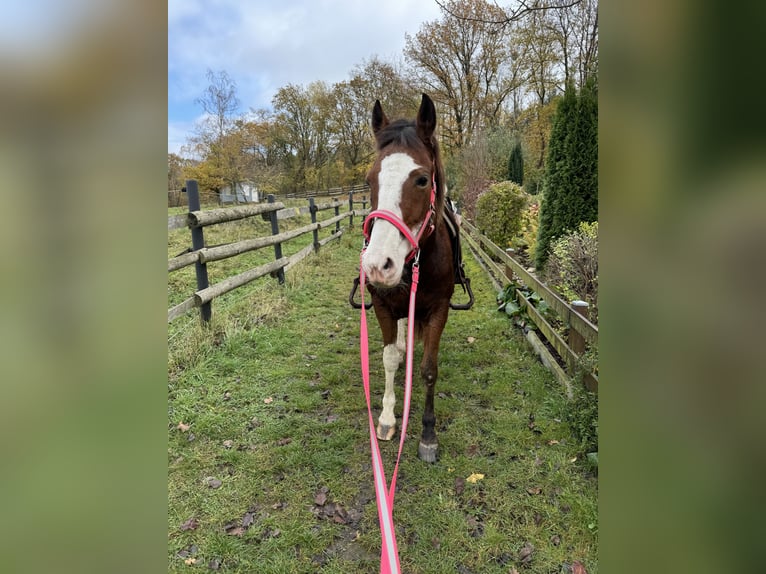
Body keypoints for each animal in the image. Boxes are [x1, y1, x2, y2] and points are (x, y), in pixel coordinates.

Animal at [360, 93, 457, 463]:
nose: (377, 265)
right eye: (370, 180)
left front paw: (428, 434)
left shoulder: (438, 310)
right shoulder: (382, 305)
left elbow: (429, 368)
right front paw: (387, 419)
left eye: (422, 180)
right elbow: (388, 359)